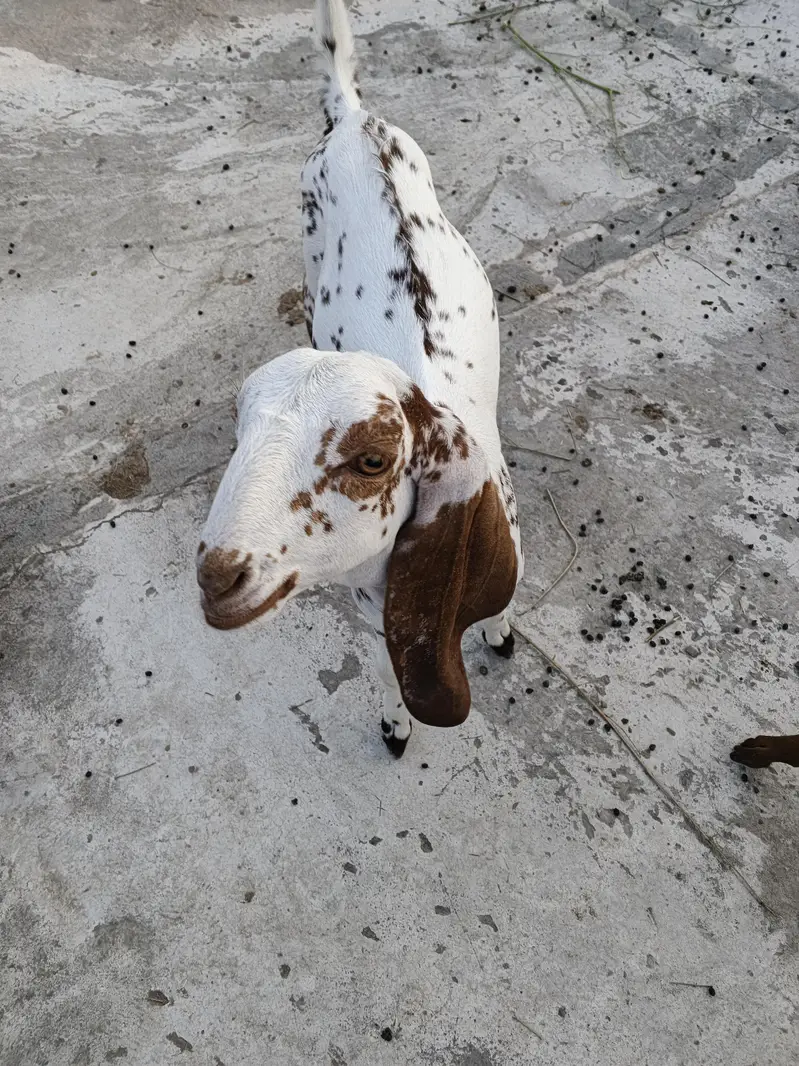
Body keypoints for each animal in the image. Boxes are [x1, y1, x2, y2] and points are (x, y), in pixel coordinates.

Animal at [197, 0, 523, 756]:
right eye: (238, 431)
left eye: (372, 460)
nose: (217, 576)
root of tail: (351, 118)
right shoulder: (372, 605)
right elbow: (384, 668)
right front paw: (397, 724)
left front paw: (499, 632)